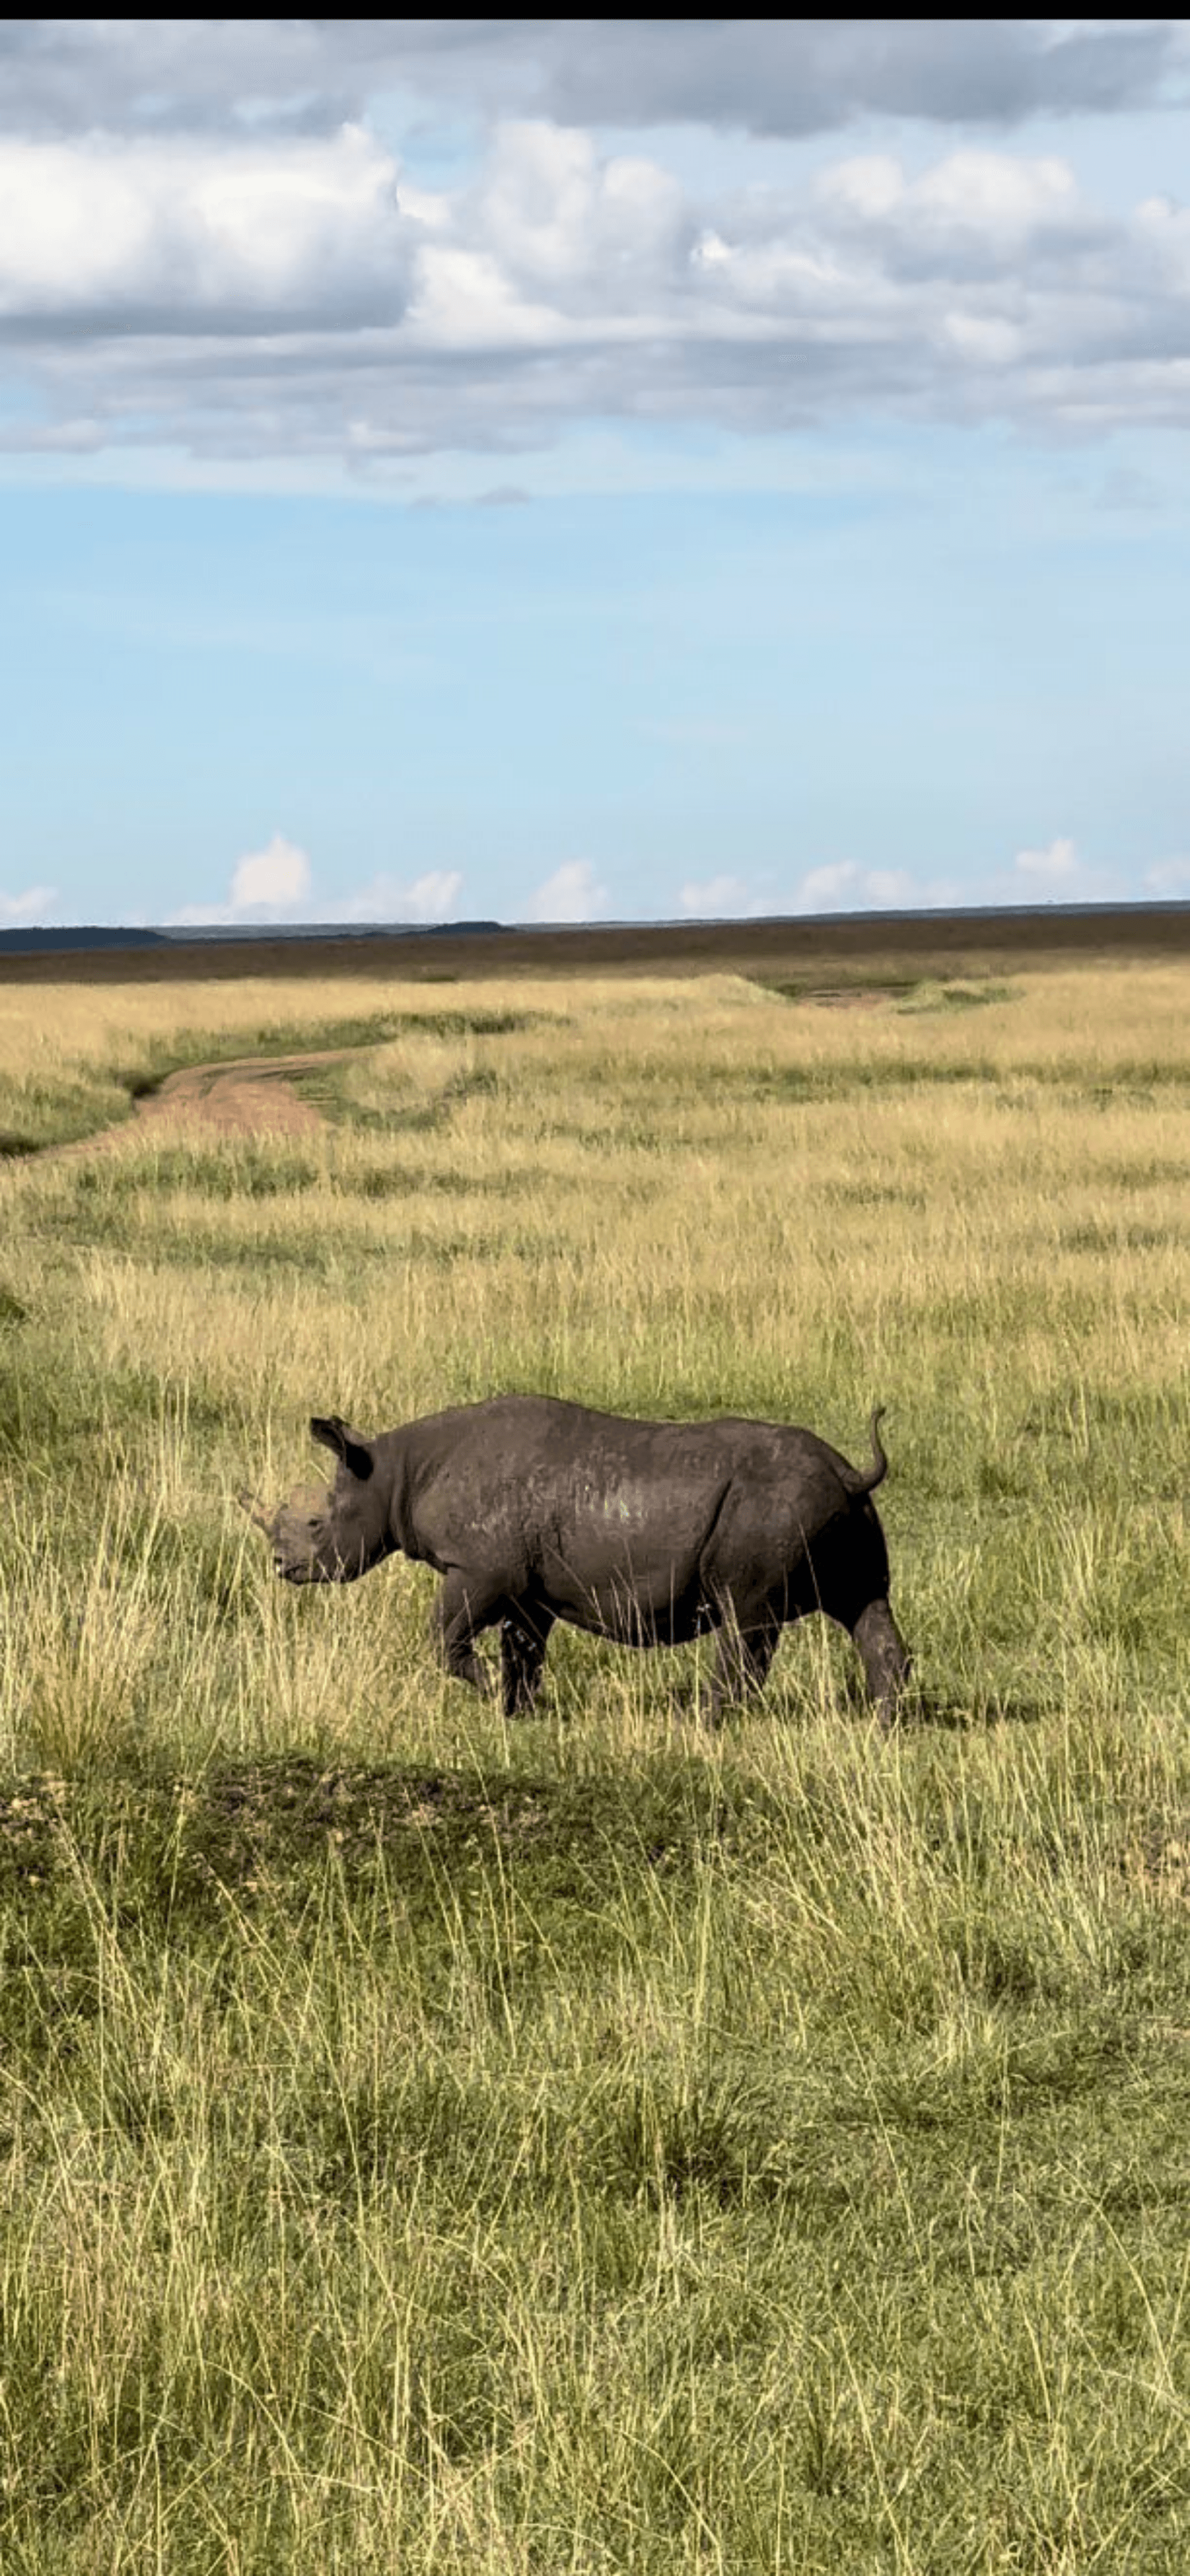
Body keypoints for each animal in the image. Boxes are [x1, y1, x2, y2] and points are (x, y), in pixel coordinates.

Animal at [240, 1395, 910, 1726]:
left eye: (316, 1524)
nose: (280, 1565)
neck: (392, 1474)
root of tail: (850, 1469)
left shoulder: (479, 1570)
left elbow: (444, 1636)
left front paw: (492, 1697)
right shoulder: (525, 1587)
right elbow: (524, 1648)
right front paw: (519, 1711)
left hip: (770, 1506)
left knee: (744, 1620)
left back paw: (700, 1724)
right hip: (844, 1512)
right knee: (865, 1605)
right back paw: (883, 1728)